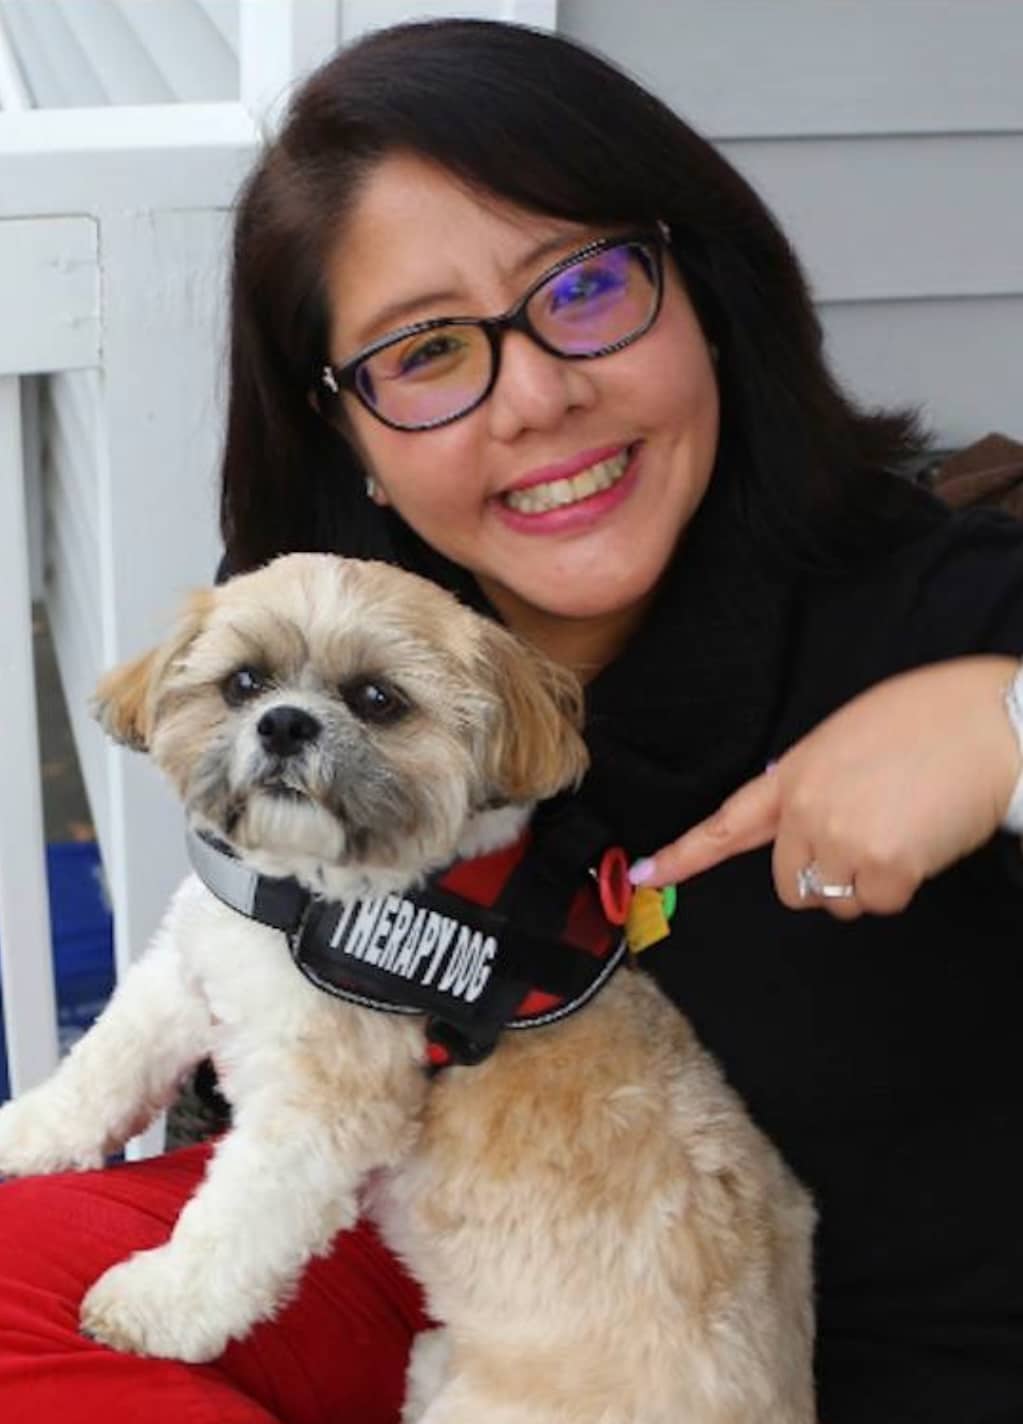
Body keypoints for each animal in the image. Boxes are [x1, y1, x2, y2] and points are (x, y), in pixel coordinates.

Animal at [0, 555, 814, 1424]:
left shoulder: (318, 1118)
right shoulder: (188, 972)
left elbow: (231, 1223)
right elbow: (101, 1069)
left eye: (377, 699)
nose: (284, 724)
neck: (309, 898)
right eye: (244, 682)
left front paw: (155, 1302)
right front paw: (24, 1131)